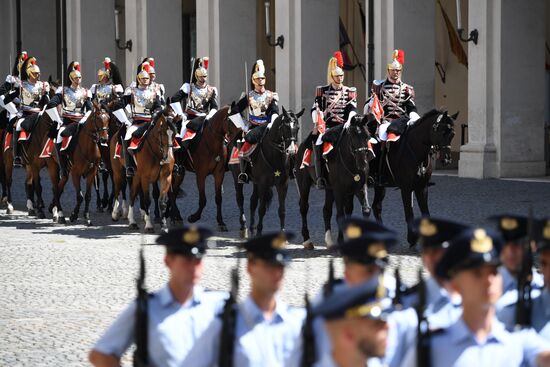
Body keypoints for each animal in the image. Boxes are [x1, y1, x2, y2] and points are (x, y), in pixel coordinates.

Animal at [230, 106, 306, 239]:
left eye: (297, 128)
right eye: (285, 126)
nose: (291, 151)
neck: (274, 155)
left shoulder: (282, 185)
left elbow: (282, 210)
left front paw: (282, 235)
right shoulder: (263, 184)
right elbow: (262, 209)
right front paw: (259, 232)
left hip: (256, 183)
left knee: (252, 201)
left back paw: (252, 228)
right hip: (237, 179)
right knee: (240, 199)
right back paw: (244, 227)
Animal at [298, 113, 376, 249]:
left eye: (367, 136)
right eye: (352, 136)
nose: (363, 164)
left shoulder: (360, 187)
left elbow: (365, 210)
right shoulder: (339, 190)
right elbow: (340, 215)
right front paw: (341, 241)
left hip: (329, 189)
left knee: (326, 210)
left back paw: (329, 241)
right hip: (304, 184)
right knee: (304, 207)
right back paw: (307, 240)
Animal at [374, 110, 460, 246]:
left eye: (452, 134)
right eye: (442, 132)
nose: (446, 160)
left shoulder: (422, 188)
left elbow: (426, 213)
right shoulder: (406, 188)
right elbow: (409, 213)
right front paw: (412, 238)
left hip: (379, 187)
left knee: (375, 207)